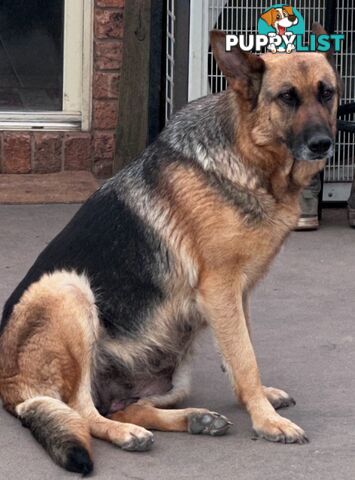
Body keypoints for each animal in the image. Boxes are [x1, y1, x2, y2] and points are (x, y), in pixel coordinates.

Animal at [0, 25, 342, 472]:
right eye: (287, 97)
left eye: (327, 93)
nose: (323, 144)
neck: (248, 155)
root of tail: (10, 386)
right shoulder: (220, 290)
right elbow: (244, 358)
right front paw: (267, 421)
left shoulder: (240, 294)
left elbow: (243, 350)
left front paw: (261, 400)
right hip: (67, 289)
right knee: (83, 411)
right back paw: (125, 433)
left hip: (174, 368)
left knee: (126, 405)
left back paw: (193, 419)